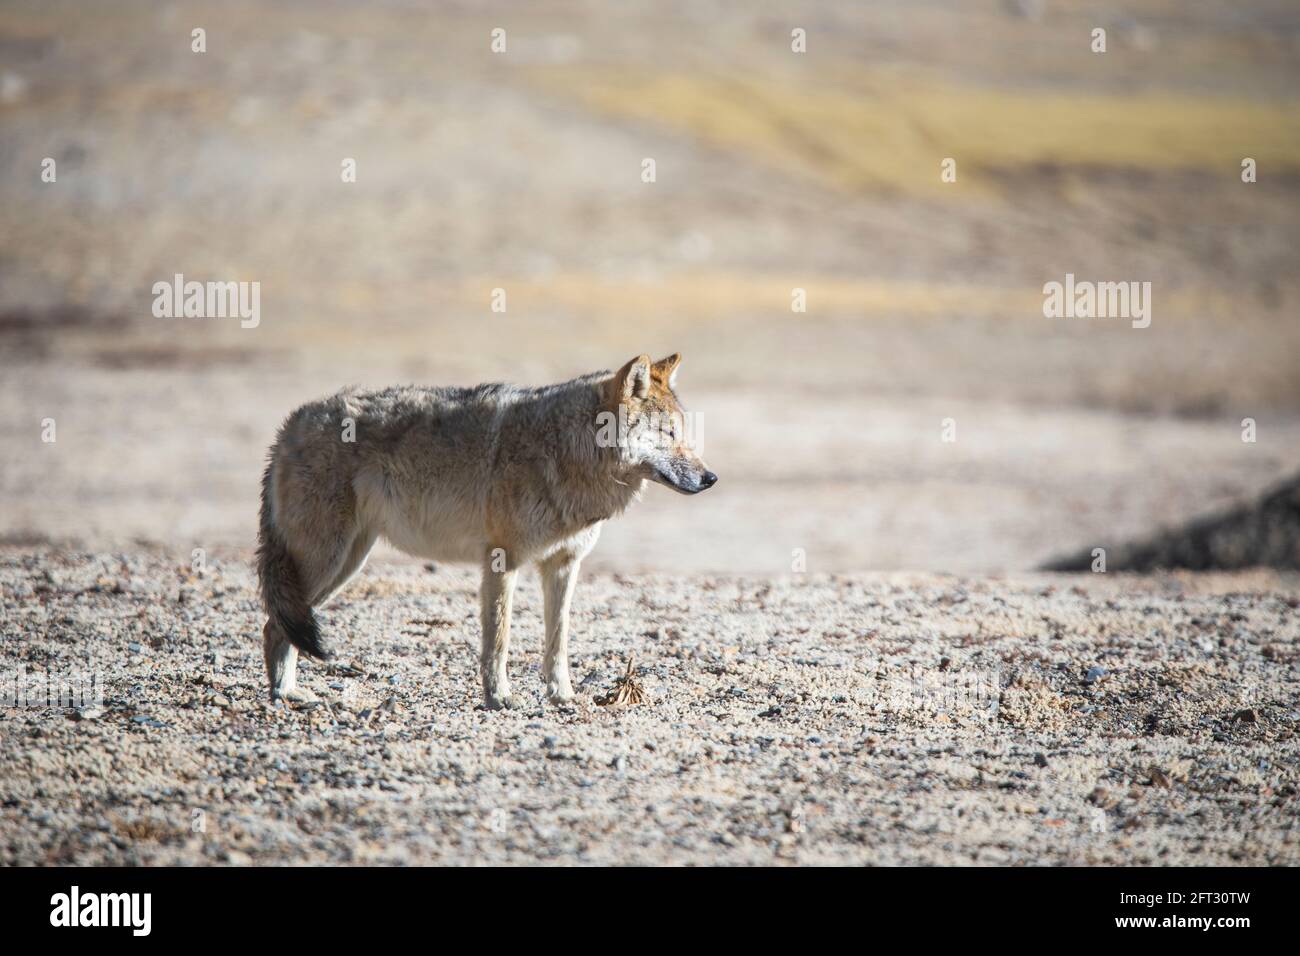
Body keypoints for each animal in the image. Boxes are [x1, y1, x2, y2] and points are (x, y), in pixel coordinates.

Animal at [257, 356, 717, 707]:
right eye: (669, 434)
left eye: (683, 434)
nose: (710, 478)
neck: (565, 453)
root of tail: (292, 422)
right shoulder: (502, 559)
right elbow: (499, 639)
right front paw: (499, 698)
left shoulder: (563, 566)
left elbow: (558, 641)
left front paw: (562, 696)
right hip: (327, 561)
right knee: (274, 625)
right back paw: (283, 695)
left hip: (349, 562)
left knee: (280, 623)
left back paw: (290, 692)